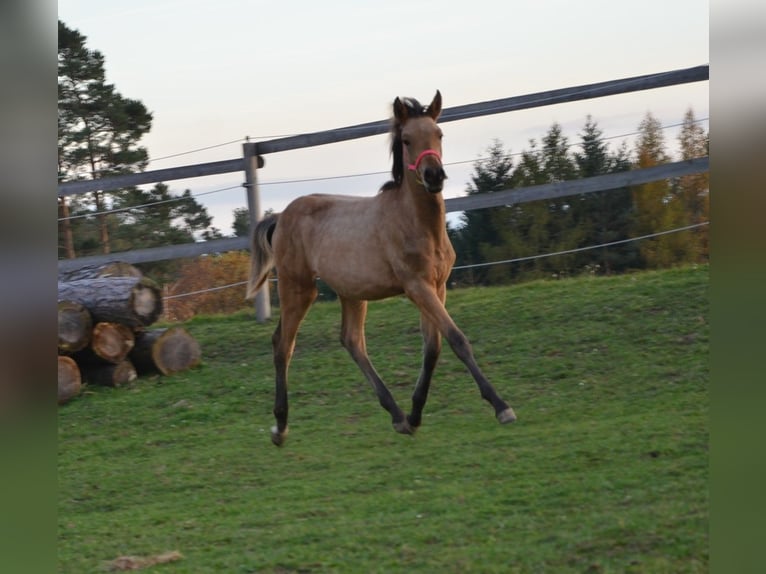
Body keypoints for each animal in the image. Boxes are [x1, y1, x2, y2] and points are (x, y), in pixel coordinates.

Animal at [249, 92, 520, 448]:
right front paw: (502, 407)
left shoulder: (437, 286)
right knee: (284, 344)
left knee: (351, 341)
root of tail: (281, 217)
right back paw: (280, 427)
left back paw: (398, 416)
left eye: (439, 134)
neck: (417, 225)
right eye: (406, 139)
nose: (434, 176)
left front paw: (415, 415)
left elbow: (432, 348)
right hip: (299, 287)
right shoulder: (416, 286)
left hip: (351, 293)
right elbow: (456, 339)